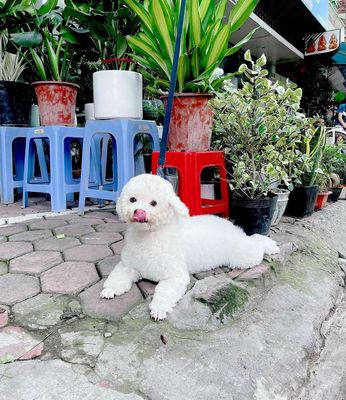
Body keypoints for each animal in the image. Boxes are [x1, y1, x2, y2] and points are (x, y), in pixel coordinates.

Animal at [101, 173, 280, 320]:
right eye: (132, 199)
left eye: (153, 203)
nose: (139, 212)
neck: (149, 236)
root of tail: (233, 228)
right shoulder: (127, 266)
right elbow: (116, 278)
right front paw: (110, 290)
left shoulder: (175, 276)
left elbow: (164, 293)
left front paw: (159, 309)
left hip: (242, 256)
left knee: (256, 242)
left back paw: (271, 246)